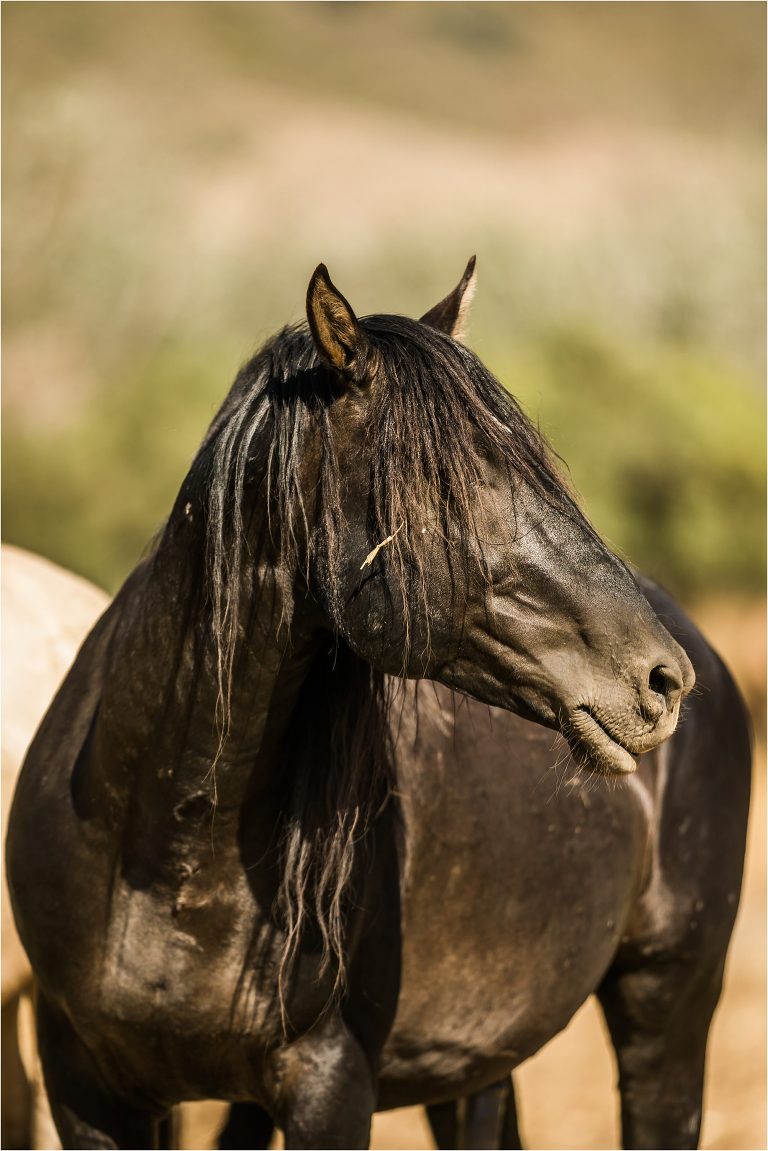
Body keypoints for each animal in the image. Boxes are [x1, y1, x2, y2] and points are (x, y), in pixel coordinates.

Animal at [3, 263, 741, 1151]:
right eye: (448, 484)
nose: (662, 680)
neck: (162, 855)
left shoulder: (330, 1086)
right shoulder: (87, 1090)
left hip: (667, 1015)